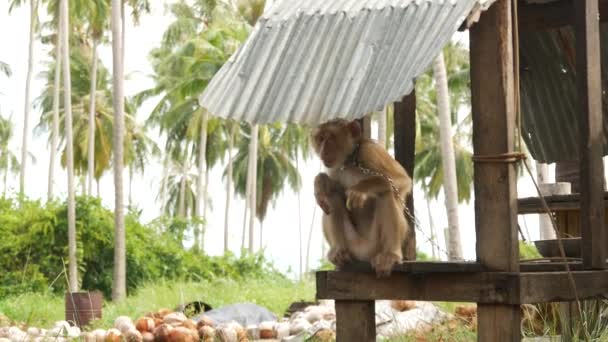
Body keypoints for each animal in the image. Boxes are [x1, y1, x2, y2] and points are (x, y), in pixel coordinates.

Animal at [314, 119, 408, 276]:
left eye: (331, 138)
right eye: (321, 139)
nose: (323, 150)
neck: (349, 161)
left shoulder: (370, 151)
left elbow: (400, 180)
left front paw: (360, 189)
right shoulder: (335, 168)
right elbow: (334, 188)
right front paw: (320, 182)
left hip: (375, 245)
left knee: (386, 192)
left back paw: (390, 255)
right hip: (352, 245)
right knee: (330, 195)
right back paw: (338, 251)